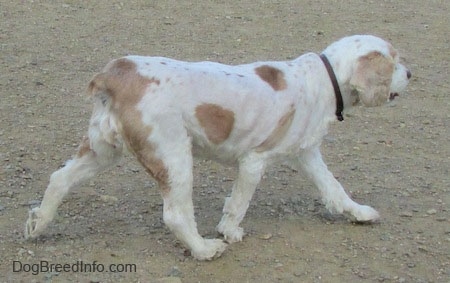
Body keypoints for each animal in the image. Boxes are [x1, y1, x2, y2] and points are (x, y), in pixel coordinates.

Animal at [25, 35, 412, 262]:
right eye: (394, 60)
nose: (410, 74)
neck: (324, 79)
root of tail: (117, 73)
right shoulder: (255, 160)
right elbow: (239, 203)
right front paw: (229, 232)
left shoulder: (307, 153)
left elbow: (335, 189)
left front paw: (359, 213)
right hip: (173, 155)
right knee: (176, 215)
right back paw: (204, 249)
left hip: (102, 149)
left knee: (59, 179)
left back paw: (38, 224)